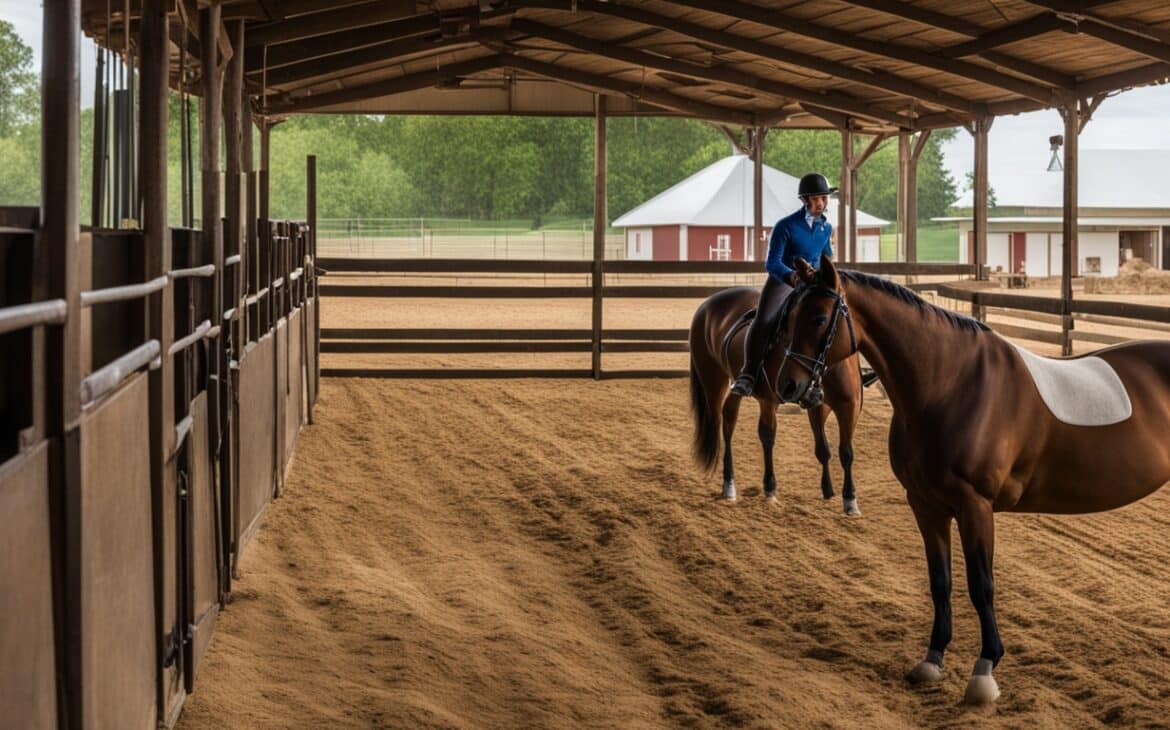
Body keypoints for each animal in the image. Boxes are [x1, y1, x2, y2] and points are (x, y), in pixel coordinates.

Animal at [687, 285, 865, 512]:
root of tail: (707, 304)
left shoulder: (845, 407)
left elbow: (836, 451)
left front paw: (833, 493)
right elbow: (828, 449)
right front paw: (845, 497)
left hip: (743, 388)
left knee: (736, 419)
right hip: (714, 380)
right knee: (725, 424)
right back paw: (731, 484)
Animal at [781, 255, 1170, 701]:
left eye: (817, 317)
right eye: (788, 315)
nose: (788, 385)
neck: (949, 384)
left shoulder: (975, 506)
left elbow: (981, 584)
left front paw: (984, 670)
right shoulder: (925, 505)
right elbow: (940, 581)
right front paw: (932, 660)